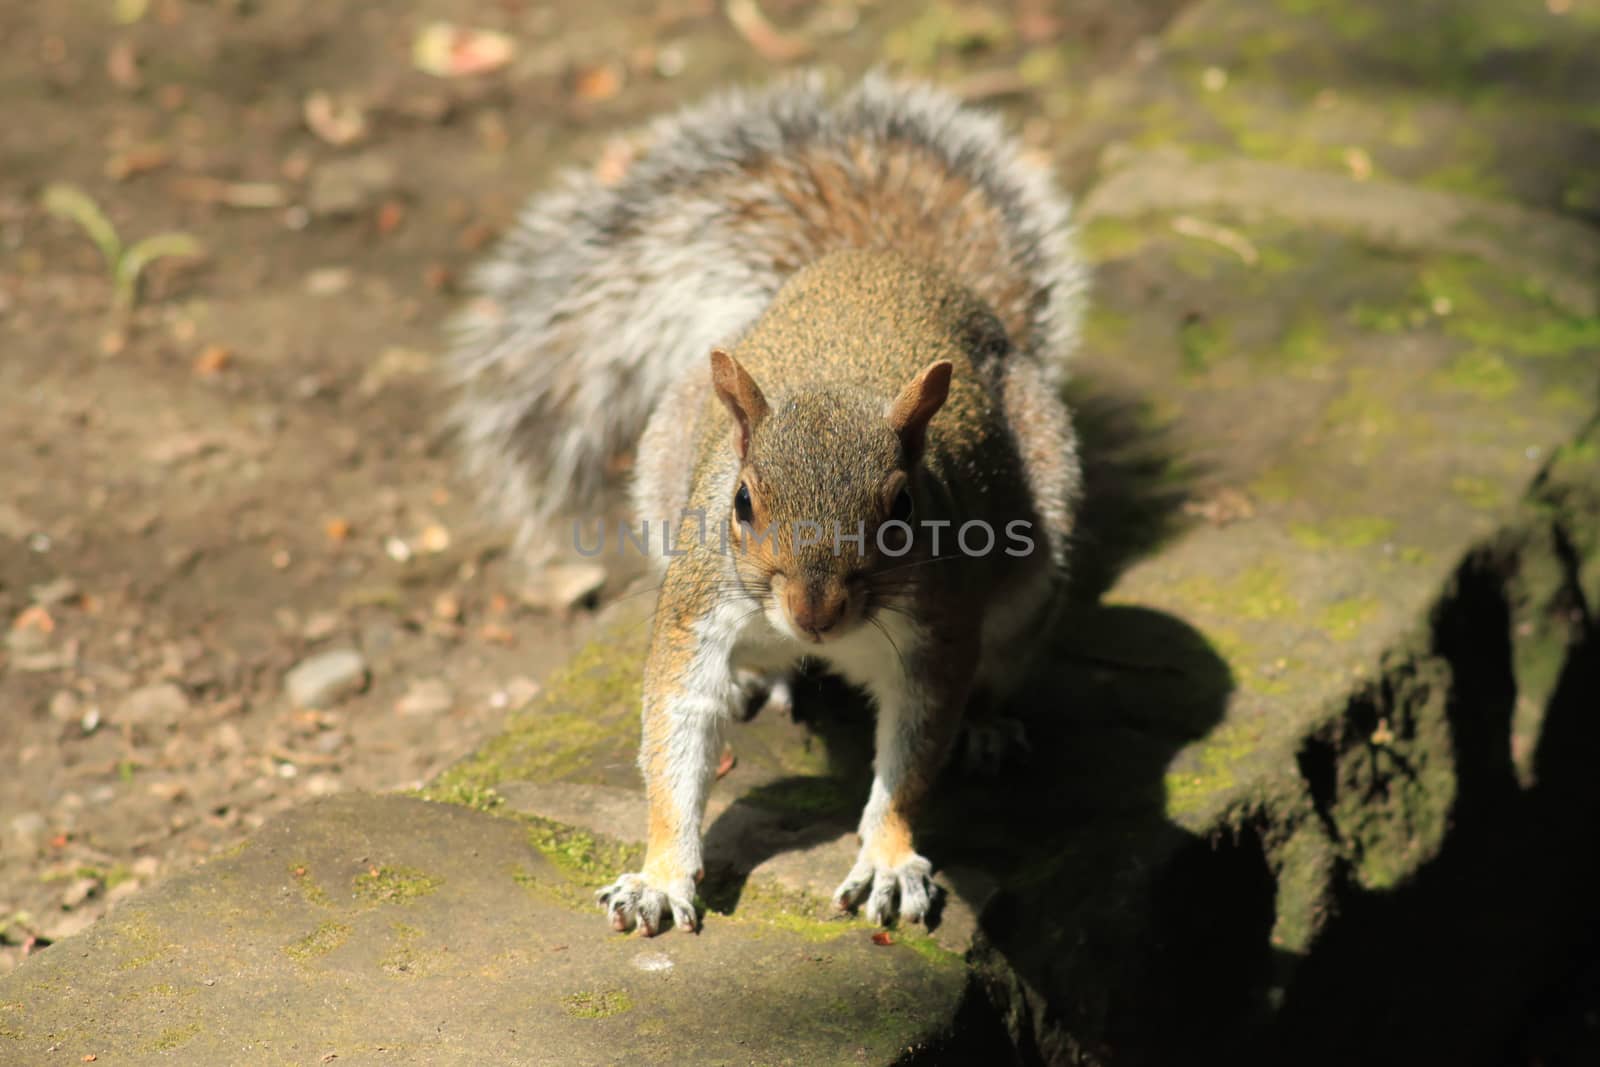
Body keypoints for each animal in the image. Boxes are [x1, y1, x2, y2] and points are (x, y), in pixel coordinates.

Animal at [444, 73, 1081, 934]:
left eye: (903, 507)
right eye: (741, 501)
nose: (814, 610)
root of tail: (887, 262)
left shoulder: (938, 632)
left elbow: (913, 759)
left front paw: (888, 859)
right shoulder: (696, 607)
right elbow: (674, 732)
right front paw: (659, 874)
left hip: (1036, 554)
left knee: (1005, 658)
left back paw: (986, 724)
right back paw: (762, 677)